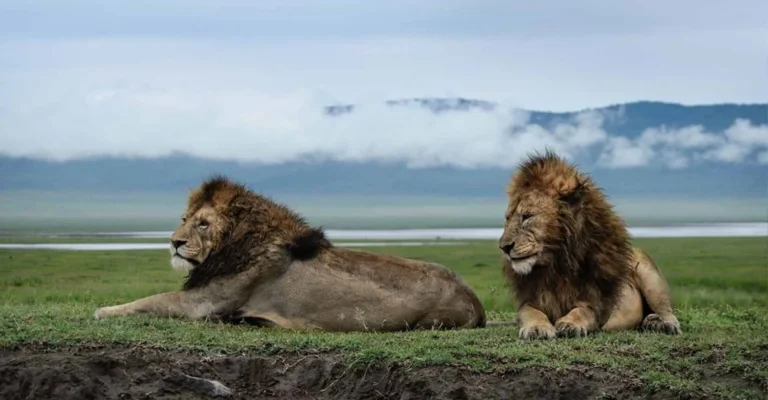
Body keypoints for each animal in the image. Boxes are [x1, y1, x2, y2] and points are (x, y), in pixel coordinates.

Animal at [94, 176, 487, 332]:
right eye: (184, 220)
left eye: (202, 224)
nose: (174, 241)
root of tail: (476, 300)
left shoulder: (203, 304)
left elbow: (151, 300)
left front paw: (103, 310)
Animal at [498, 151, 682, 339]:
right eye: (507, 218)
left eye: (527, 216)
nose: (504, 247)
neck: (556, 265)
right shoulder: (529, 300)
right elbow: (531, 312)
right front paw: (537, 328)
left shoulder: (596, 303)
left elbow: (582, 311)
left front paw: (570, 324)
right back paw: (651, 322)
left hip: (649, 273)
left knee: (667, 311)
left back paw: (664, 325)